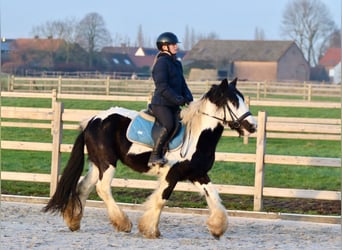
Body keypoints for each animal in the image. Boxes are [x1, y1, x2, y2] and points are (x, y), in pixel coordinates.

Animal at [42, 77, 256, 238]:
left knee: (83, 187)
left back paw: (74, 221)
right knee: (102, 188)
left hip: (97, 164)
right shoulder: (173, 174)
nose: (252, 126)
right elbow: (161, 199)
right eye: (234, 102)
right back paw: (123, 223)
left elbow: (213, 195)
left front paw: (218, 227)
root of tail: (93, 120)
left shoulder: (197, 173)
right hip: (107, 163)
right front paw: (150, 229)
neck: (197, 135)